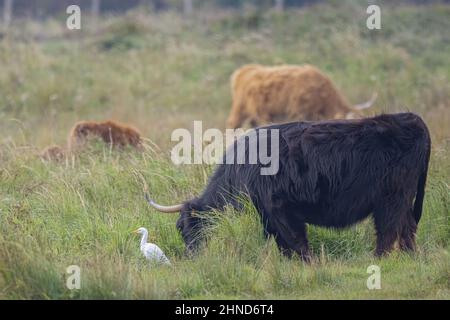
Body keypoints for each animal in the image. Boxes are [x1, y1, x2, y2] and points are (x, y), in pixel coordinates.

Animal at [146, 113, 430, 262]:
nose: (191, 256)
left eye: (185, 228)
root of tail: (410, 119)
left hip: (392, 198)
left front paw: (309, 262)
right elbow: (282, 242)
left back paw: (378, 259)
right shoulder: (269, 215)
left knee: (388, 229)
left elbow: (294, 239)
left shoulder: (279, 209)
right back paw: (410, 257)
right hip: (404, 199)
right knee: (407, 227)